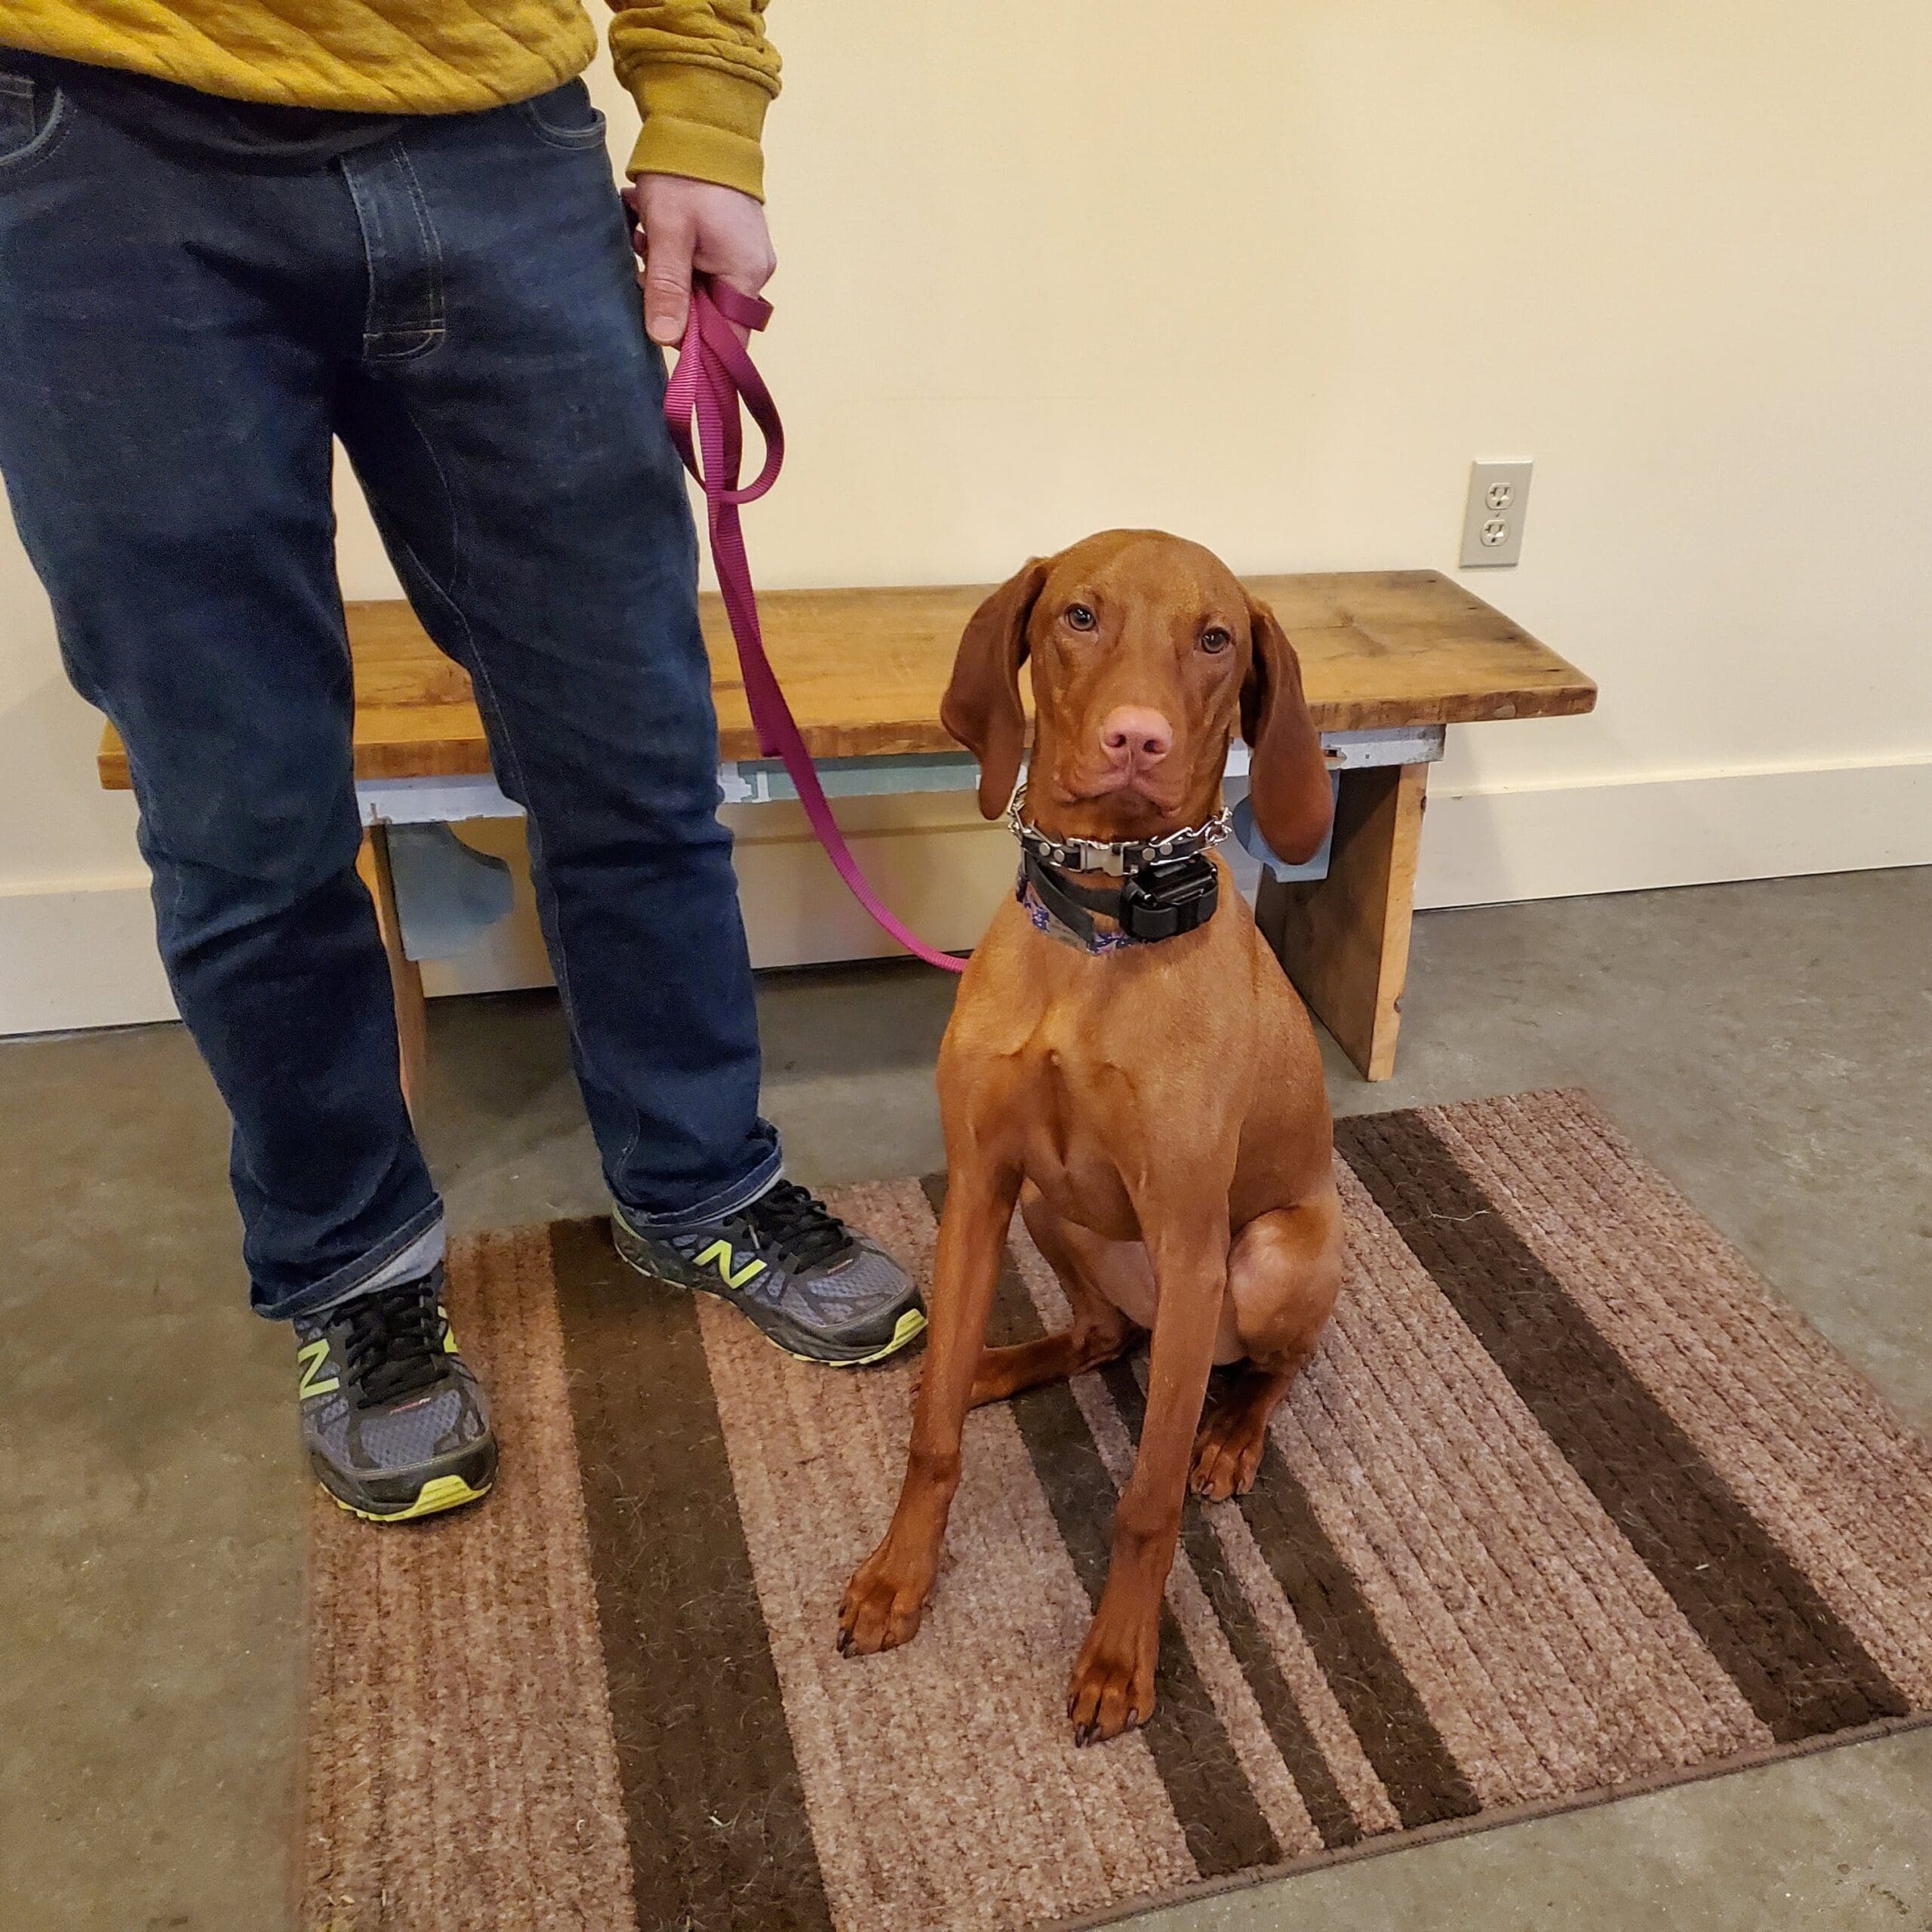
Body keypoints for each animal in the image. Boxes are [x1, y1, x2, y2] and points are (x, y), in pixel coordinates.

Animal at [838, 533, 1352, 1754]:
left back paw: (1232, 1436)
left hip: (1268, 1259)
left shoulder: (1189, 1239)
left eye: (1215, 638)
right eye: (1079, 615)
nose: (1136, 739)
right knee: (1098, 1334)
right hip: (1052, 1210)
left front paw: (1120, 1656)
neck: (1101, 936)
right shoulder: (980, 1188)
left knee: (1273, 1366)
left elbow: (1145, 1503)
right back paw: (992, 1365)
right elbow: (932, 1438)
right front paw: (897, 1576)